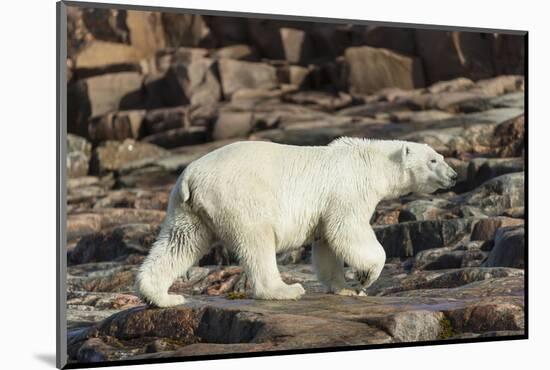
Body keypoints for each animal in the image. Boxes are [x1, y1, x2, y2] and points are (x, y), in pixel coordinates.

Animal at [136, 136, 460, 306]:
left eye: (442, 156)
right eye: (433, 160)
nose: (454, 176)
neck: (370, 161)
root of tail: (190, 176)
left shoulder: (327, 205)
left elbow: (328, 242)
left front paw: (344, 286)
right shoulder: (348, 189)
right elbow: (348, 230)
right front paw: (366, 277)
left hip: (189, 209)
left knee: (180, 243)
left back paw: (162, 296)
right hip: (240, 196)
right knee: (257, 241)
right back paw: (285, 289)